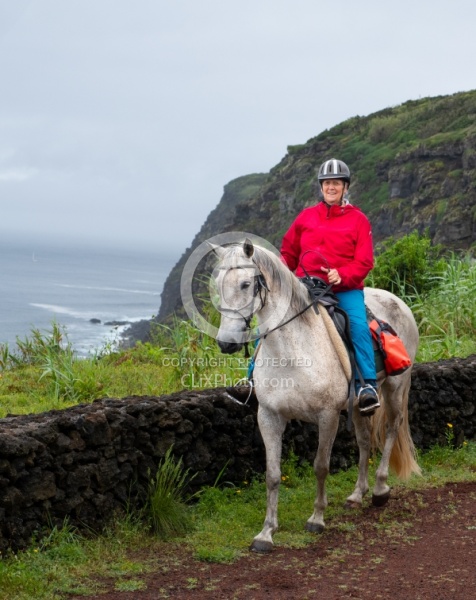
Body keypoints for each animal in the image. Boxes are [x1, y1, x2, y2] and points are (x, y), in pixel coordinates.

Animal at [212, 238, 420, 552]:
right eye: (217, 284)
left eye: (246, 284)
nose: (226, 343)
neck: (291, 351)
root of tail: (398, 302)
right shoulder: (269, 416)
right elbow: (272, 475)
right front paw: (266, 532)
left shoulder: (327, 416)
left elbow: (321, 466)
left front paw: (317, 518)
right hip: (358, 406)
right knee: (364, 440)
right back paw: (357, 494)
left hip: (396, 388)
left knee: (391, 430)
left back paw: (380, 489)